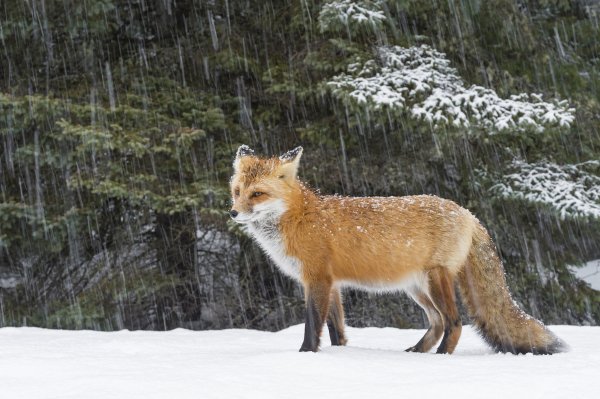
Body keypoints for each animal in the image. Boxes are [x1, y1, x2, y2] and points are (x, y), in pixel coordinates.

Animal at [227, 145, 564, 354]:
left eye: (257, 194)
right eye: (237, 191)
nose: (232, 213)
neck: (299, 217)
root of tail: (469, 214)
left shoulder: (317, 279)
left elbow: (313, 326)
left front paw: (305, 355)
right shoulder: (333, 284)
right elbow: (336, 330)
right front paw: (339, 354)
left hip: (435, 279)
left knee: (454, 323)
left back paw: (440, 357)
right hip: (416, 288)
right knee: (437, 323)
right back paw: (416, 353)